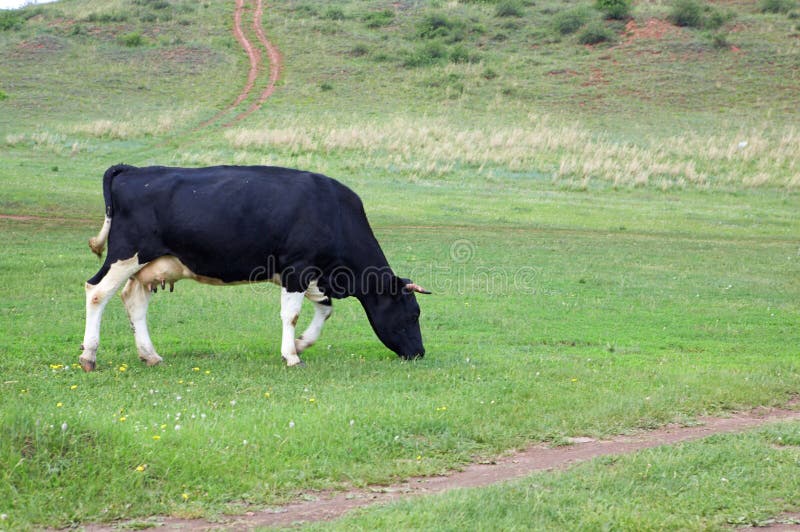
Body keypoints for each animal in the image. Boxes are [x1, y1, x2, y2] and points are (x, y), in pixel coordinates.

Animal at [79, 164, 432, 372]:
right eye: (413, 313)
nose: (419, 352)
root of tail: (135, 170)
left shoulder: (312, 275)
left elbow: (325, 309)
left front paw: (301, 343)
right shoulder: (297, 268)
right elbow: (292, 314)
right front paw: (292, 355)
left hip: (150, 266)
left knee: (134, 302)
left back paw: (149, 354)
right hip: (125, 255)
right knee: (96, 292)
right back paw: (89, 356)